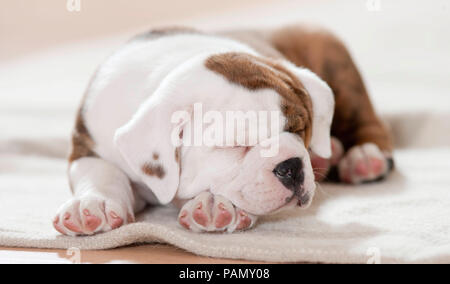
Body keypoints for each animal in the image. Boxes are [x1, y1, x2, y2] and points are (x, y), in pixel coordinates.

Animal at [53, 26, 394, 235]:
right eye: (234, 145)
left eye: (298, 128)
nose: (292, 166)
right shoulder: (87, 143)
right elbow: (101, 173)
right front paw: (91, 205)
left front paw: (216, 203)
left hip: (329, 50)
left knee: (370, 122)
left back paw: (364, 157)